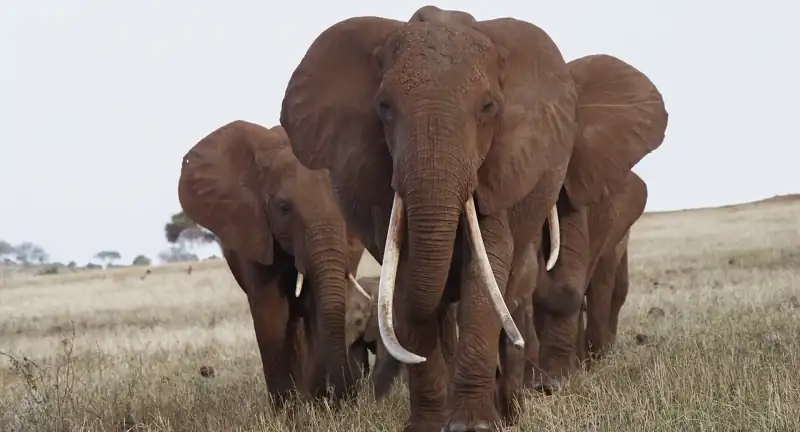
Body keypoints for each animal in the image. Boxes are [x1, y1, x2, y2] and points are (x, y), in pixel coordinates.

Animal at [176, 120, 371, 407]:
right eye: (283, 208)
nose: (346, 396)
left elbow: (317, 309)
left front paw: (318, 406)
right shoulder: (253, 229)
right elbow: (271, 312)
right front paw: (289, 411)